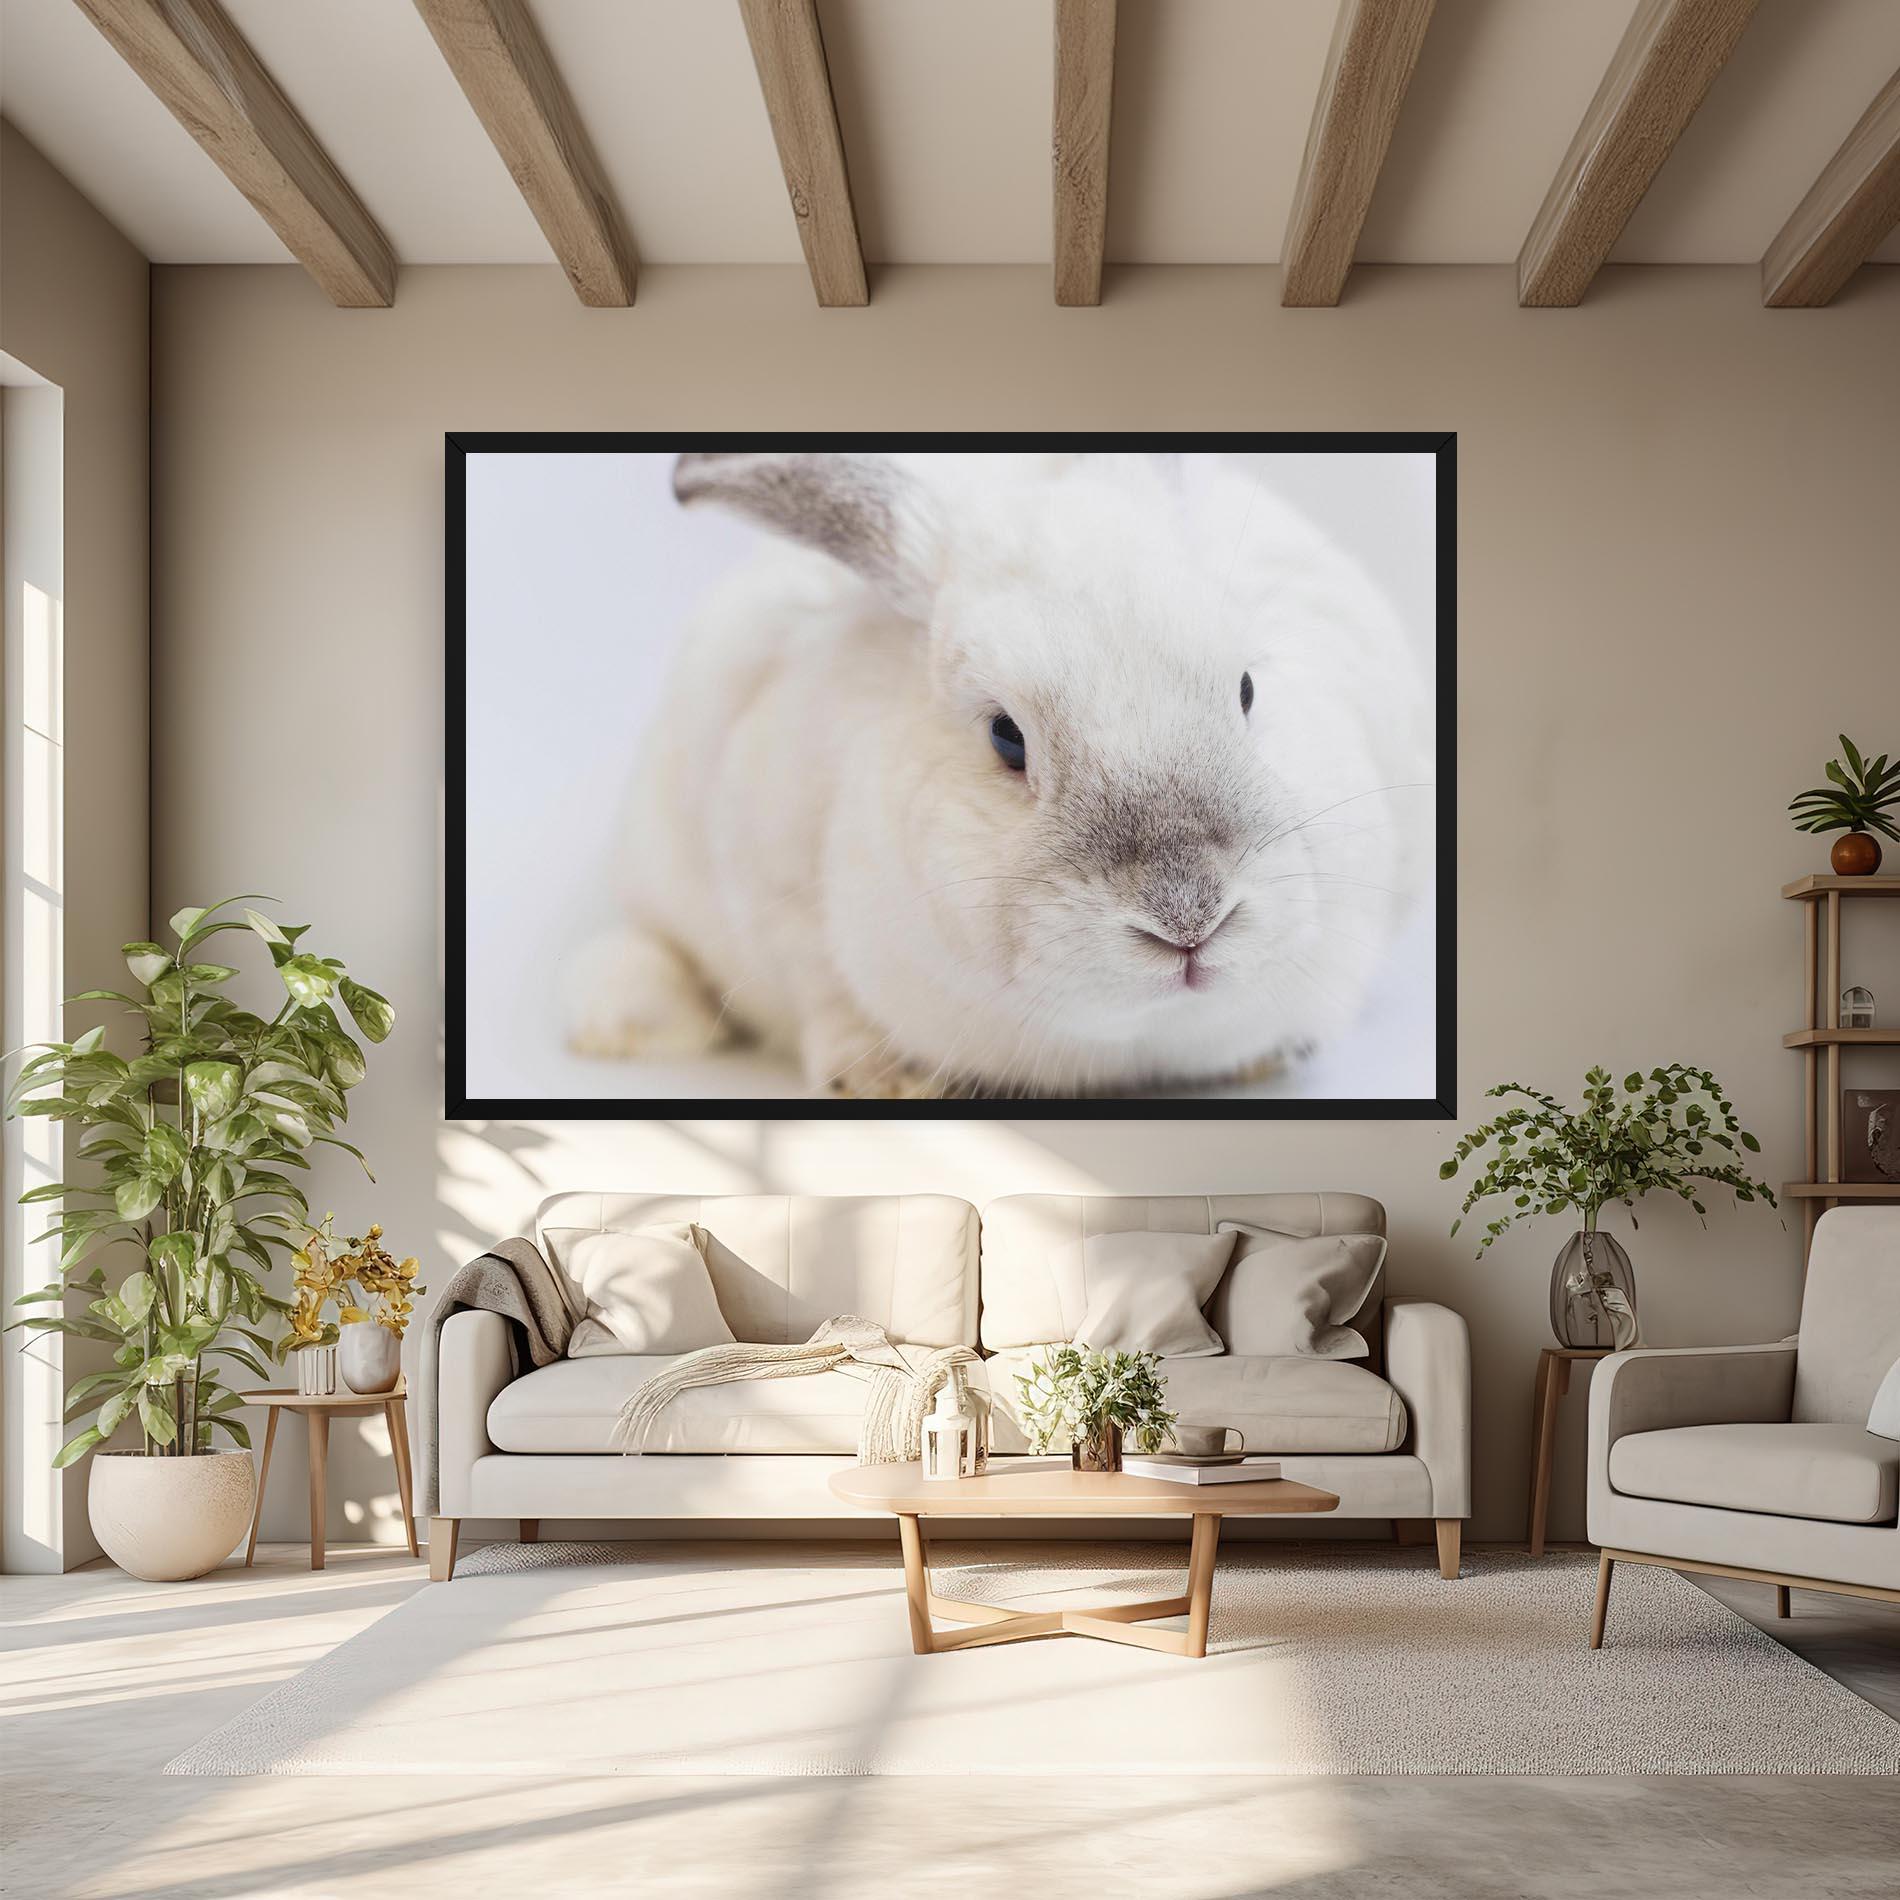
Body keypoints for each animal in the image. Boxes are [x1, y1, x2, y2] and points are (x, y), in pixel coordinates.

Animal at [565, 451, 1433, 1098]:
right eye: (1006, 737)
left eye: (1248, 688)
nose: (1188, 918)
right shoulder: (775, 892)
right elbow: (824, 994)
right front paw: (884, 1078)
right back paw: (618, 1026)